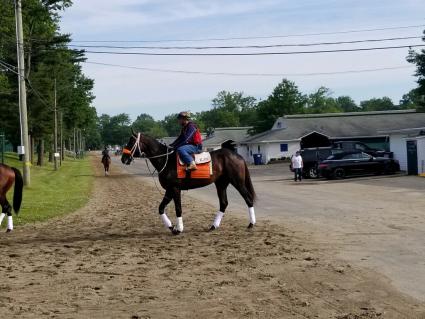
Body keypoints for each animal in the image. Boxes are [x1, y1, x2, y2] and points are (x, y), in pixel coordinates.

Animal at [121, 132, 256, 235]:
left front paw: (179, 228)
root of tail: (237, 155)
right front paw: (171, 227)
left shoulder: (175, 189)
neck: (166, 160)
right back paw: (213, 226)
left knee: (248, 199)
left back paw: (251, 223)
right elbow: (161, 208)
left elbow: (178, 209)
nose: (123, 158)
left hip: (237, 182)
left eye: (131, 142)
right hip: (221, 184)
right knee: (223, 203)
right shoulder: (169, 190)